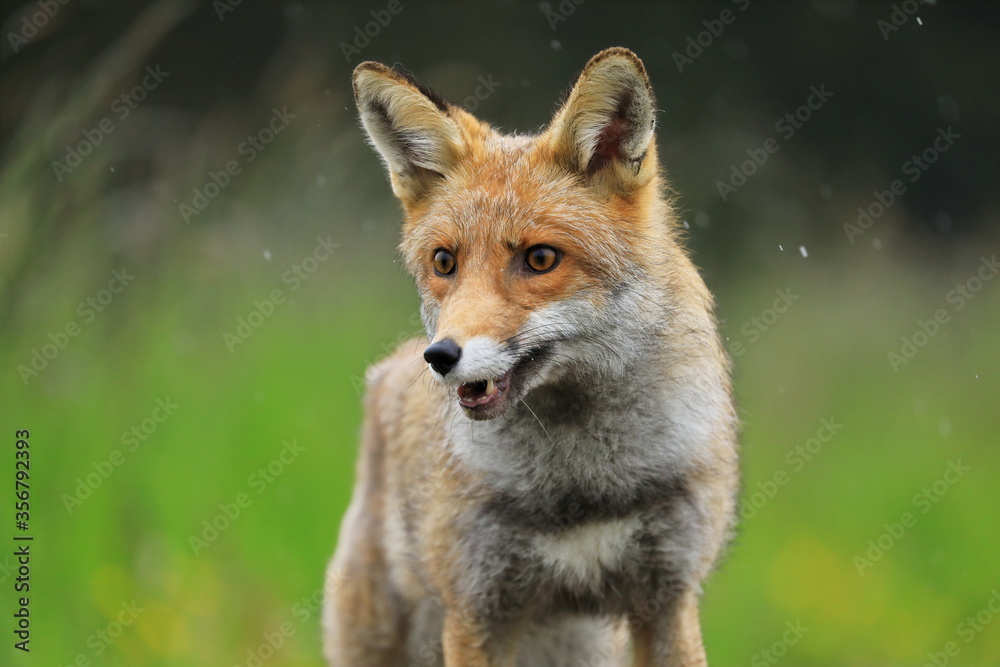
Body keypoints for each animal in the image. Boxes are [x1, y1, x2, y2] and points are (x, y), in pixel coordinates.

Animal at [323, 48, 739, 666]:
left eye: (540, 258)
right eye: (444, 262)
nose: (440, 356)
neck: (578, 488)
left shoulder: (668, 598)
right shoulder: (477, 612)